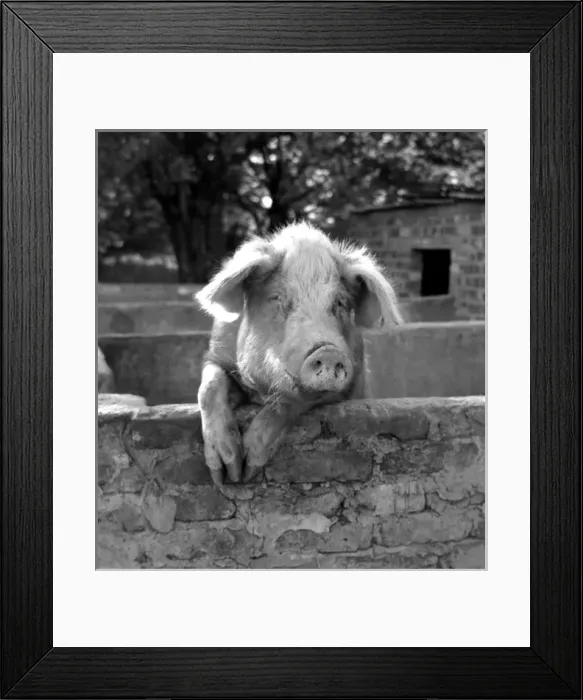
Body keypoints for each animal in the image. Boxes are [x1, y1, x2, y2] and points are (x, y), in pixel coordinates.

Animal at [195, 221, 403, 486]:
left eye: (340, 303)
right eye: (277, 298)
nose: (329, 351)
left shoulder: (350, 384)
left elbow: (287, 402)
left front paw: (248, 468)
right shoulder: (216, 354)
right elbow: (209, 387)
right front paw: (227, 474)